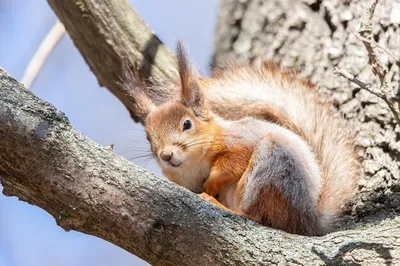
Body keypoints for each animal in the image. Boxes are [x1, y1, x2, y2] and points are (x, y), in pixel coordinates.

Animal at [121, 42, 360, 236]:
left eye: (187, 124)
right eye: (148, 137)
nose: (166, 155)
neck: (192, 165)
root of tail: (306, 221)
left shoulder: (240, 140)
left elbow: (234, 161)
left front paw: (212, 182)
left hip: (273, 166)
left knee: (256, 217)